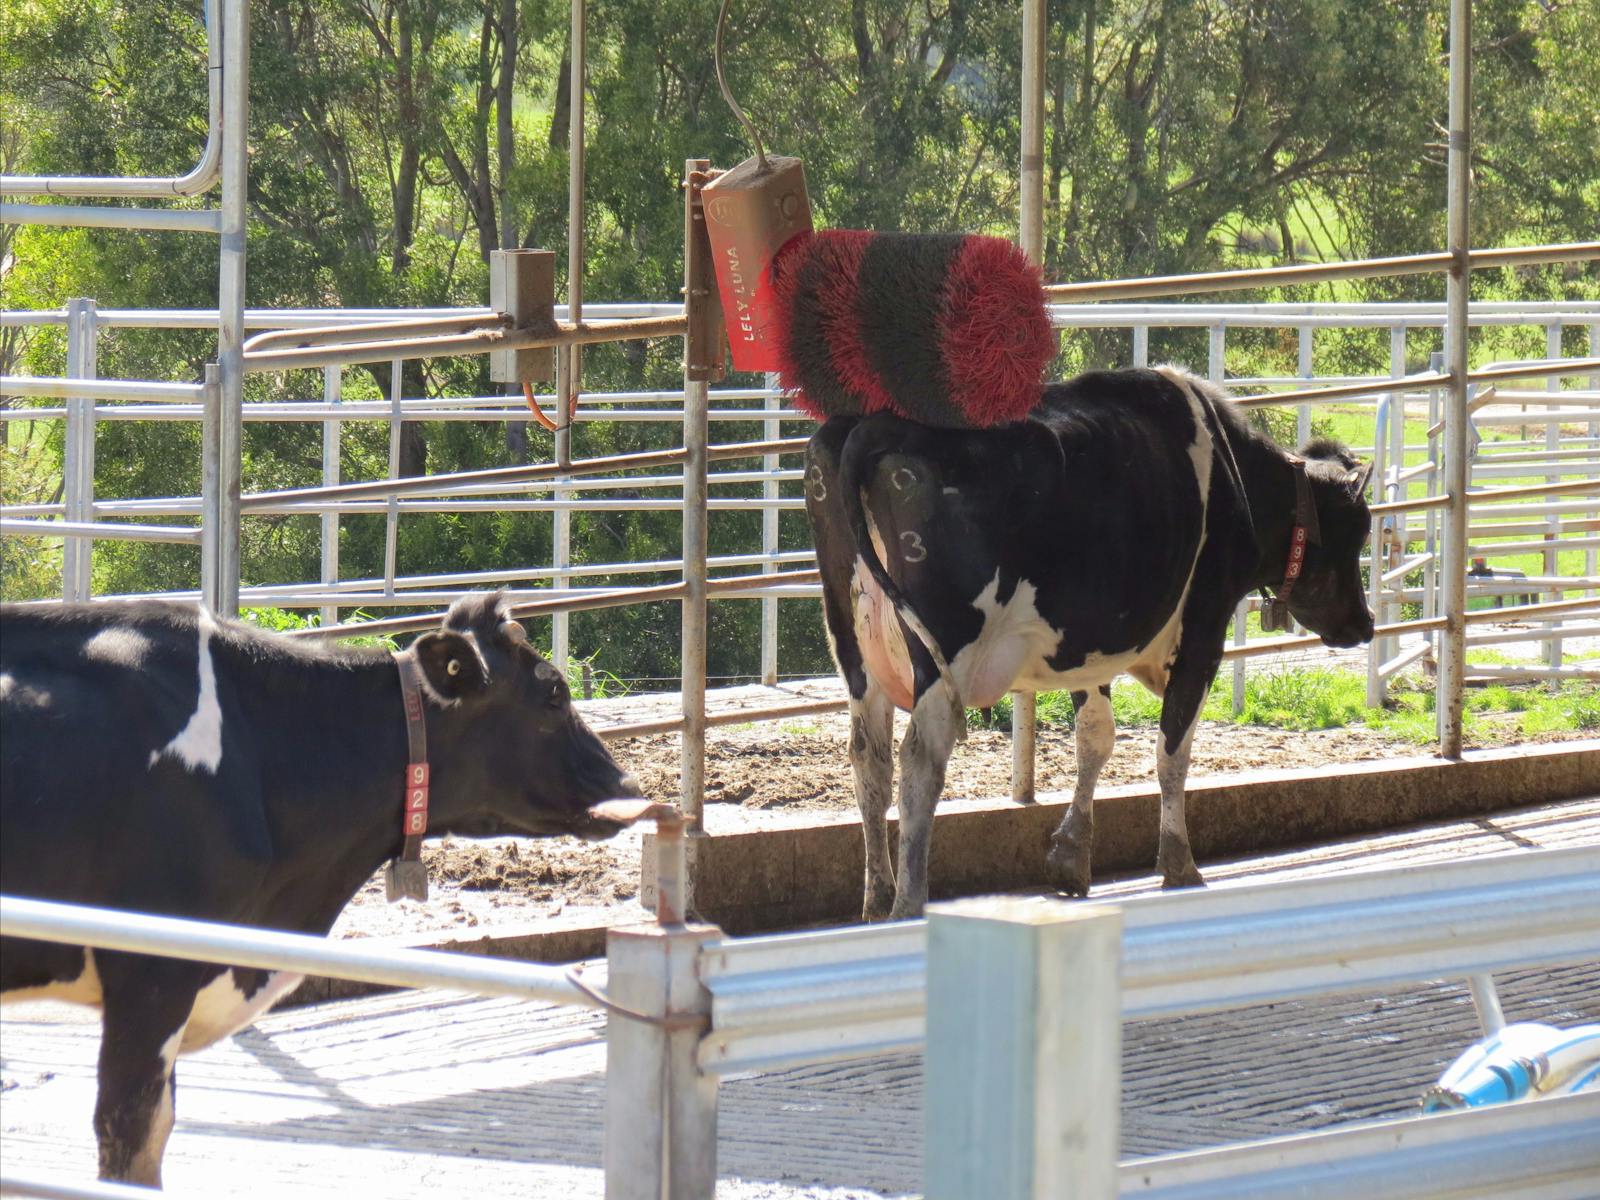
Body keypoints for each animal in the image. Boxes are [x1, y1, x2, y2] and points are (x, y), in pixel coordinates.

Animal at [812, 366, 1376, 921]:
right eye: (1358, 533)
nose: (1366, 624)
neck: (1237, 478)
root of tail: (879, 424)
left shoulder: (1082, 645)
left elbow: (1096, 738)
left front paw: (1070, 857)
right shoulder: (1204, 630)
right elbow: (1172, 751)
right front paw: (1179, 864)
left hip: (851, 641)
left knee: (869, 759)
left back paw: (878, 898)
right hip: (945, 646)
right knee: (920, 760)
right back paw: (908, 903)